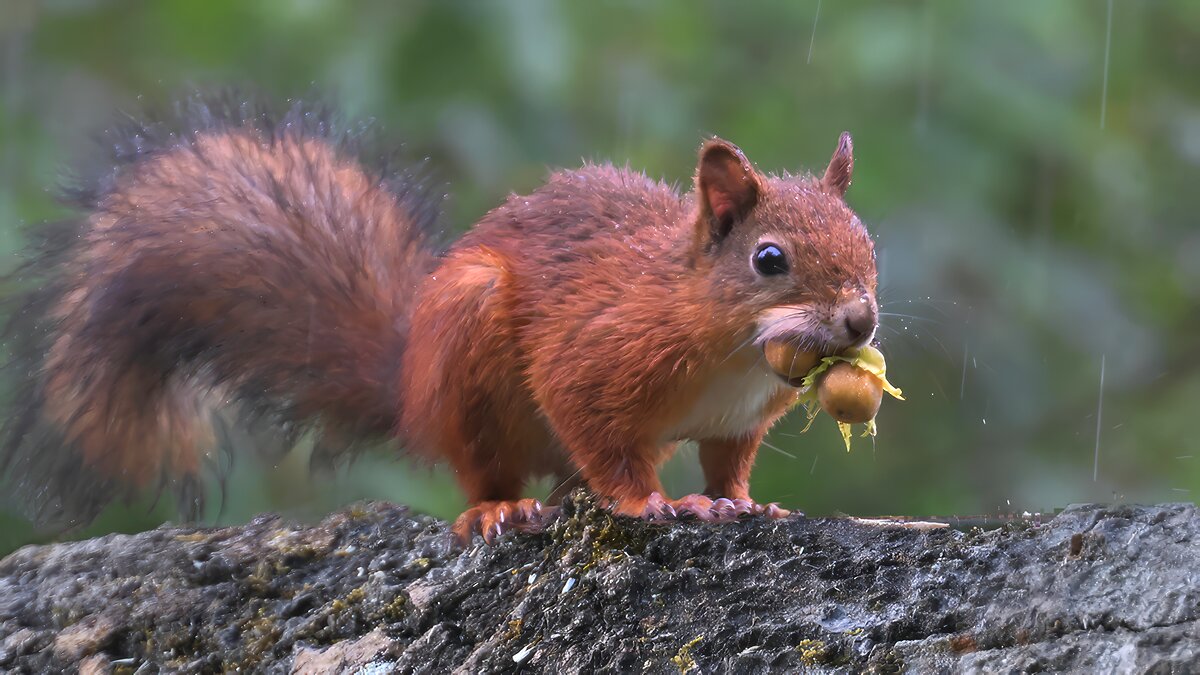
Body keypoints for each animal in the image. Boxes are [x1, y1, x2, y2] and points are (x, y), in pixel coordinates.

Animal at [2, 97, 883, 540]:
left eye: (866, 240)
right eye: (768, 259)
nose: (861, 322)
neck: (732, 352)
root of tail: (408, 385)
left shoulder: (737, 418)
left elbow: (728, 461)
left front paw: (740, 502)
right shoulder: (596, 355)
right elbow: (601, 436)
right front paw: (651, 503)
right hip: (469, 355)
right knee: (485, 468)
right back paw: (501, 509)